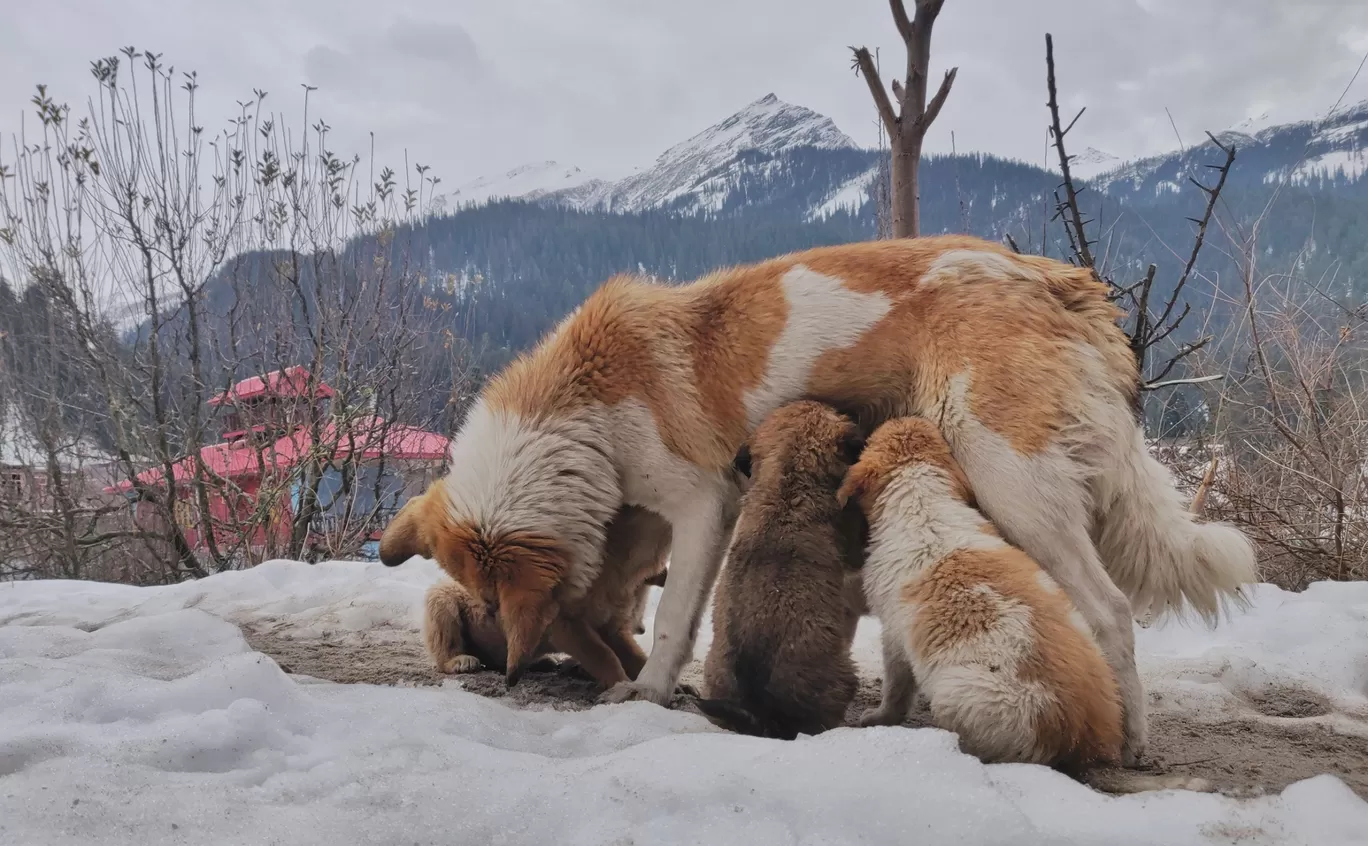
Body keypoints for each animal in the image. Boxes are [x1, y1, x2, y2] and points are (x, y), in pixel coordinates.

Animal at [842, 416, 1121, 772]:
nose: (907, 416)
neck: (922, 500)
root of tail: (1080, 737)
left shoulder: (894, 634)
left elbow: (896, 687)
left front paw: (880, 717)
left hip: (960, 695)